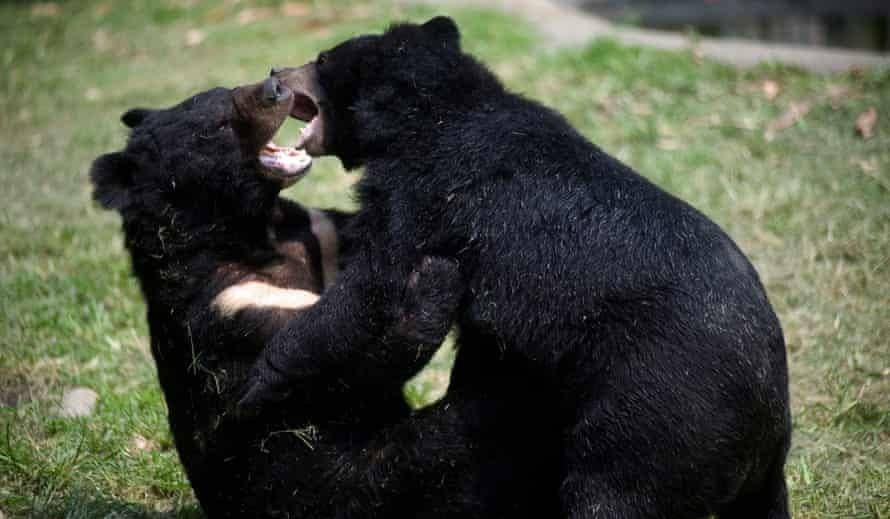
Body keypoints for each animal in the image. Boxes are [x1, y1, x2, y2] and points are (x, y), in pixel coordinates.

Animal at [92, 78, 560, 519]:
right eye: (219, 126)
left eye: (225, 92)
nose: (275, 88)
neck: (257, 232)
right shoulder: (230, 306)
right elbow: (339, 369)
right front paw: (434, 276)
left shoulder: (321, 232)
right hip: (352, 485)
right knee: (450, 440)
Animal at [241, 16, 792, 519]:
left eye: (321, 60)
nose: (275, 73)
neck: (430, 118)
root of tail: (770, 422)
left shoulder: (424, 201)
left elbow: (369, 288)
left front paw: (260, 381)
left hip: (655, 410)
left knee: (611, 492)